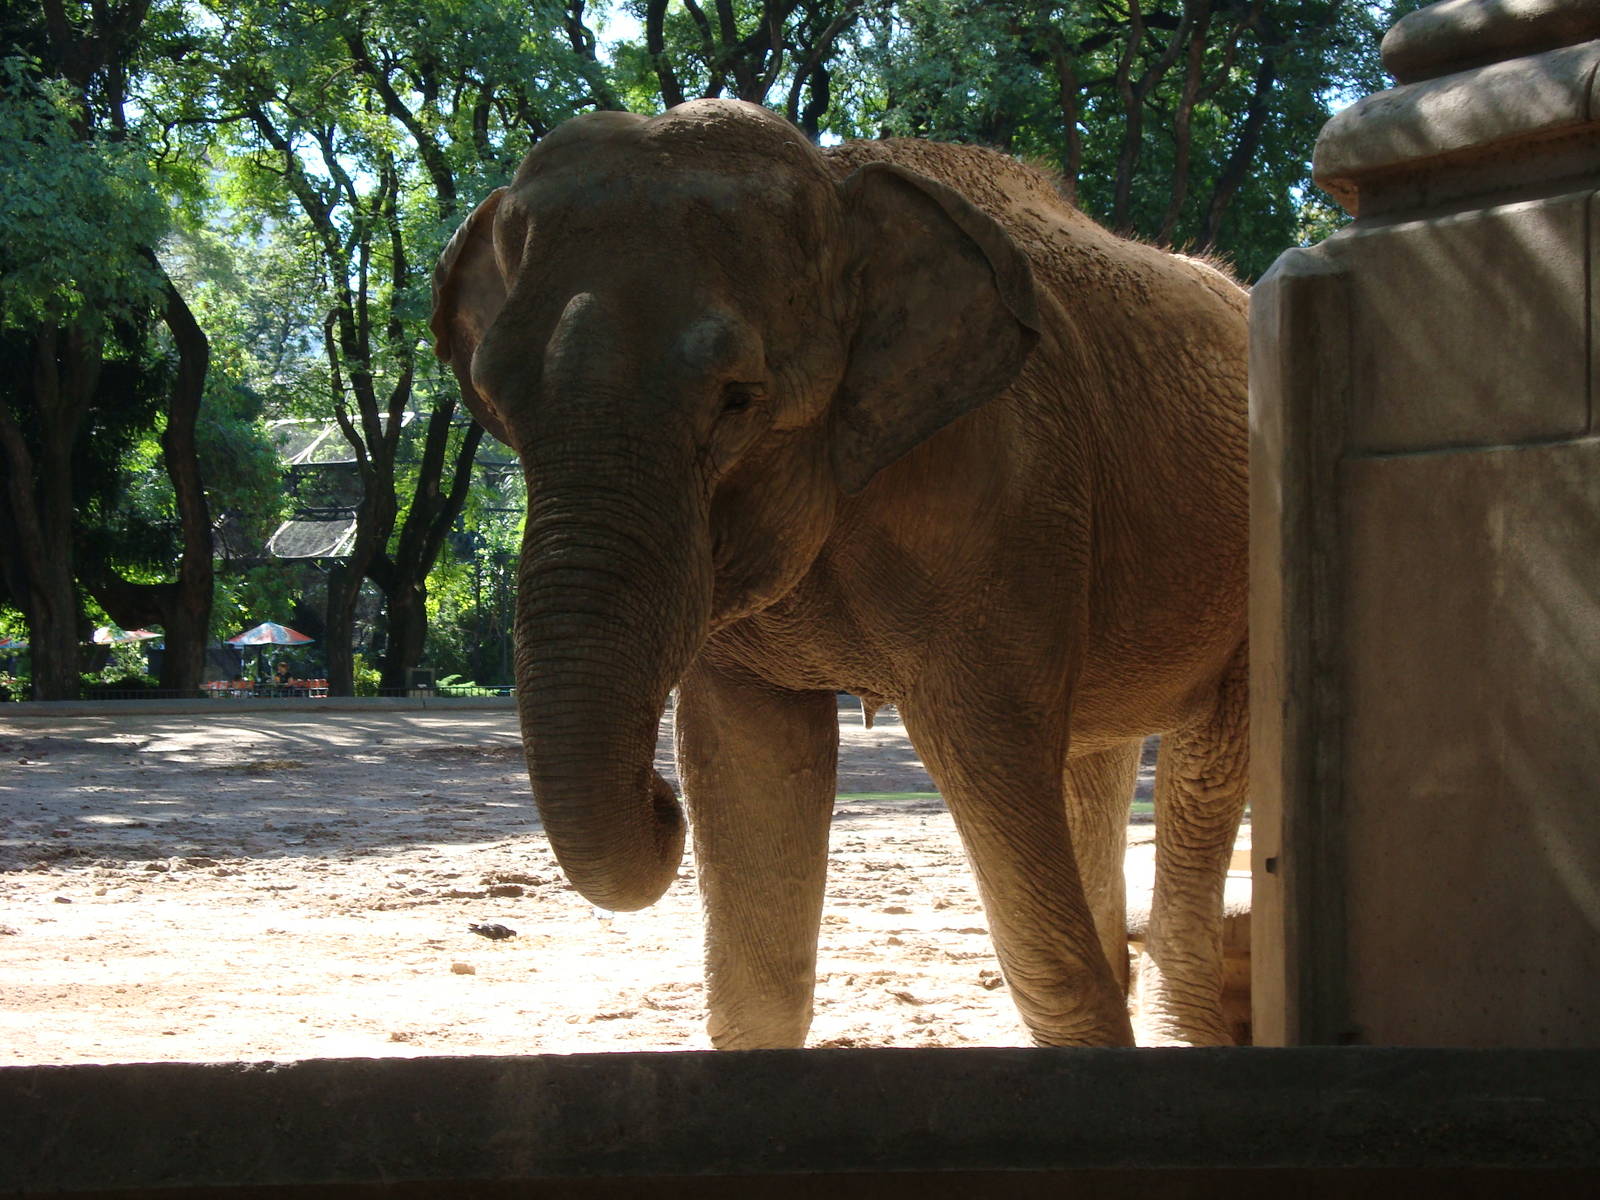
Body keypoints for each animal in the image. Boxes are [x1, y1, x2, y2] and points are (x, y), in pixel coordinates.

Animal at [430, 99, 1249, 1048]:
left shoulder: (1014, 501)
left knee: (1209, 761)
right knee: (1102, 756)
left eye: (737, 399)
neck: (836, 177)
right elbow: (746, 801)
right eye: (496, 400)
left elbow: (1033, 910)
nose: (663, 803)